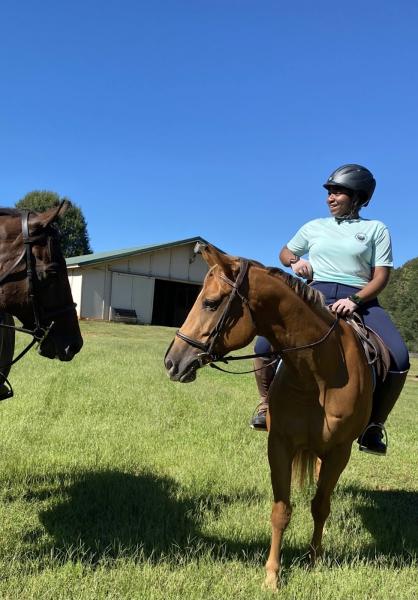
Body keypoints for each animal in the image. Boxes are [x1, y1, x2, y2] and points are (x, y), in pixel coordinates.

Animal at [163, 244, 372, 592]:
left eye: (210, 303)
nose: (171, 362)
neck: (317, 374)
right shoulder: (280, 445)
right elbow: (281, 511)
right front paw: (272, 575)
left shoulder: (339, 451)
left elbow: (320, 506)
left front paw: (313, 560)